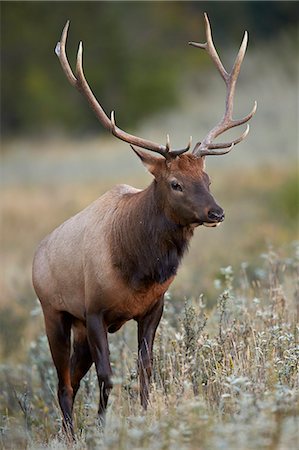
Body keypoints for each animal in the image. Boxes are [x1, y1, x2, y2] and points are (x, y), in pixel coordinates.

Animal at [33, 13, 258, 436]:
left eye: (207, 178)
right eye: (175, 183)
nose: (216, 213)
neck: (138, 269)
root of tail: (36, 255)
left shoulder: (154, 307)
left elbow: (145, 370)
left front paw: (143, 416)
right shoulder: (93, 310)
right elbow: (108, 376)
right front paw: (104, 428)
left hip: (78, 329)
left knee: (72, 378)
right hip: (55, 313)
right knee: (64, 383)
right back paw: (69, 434)